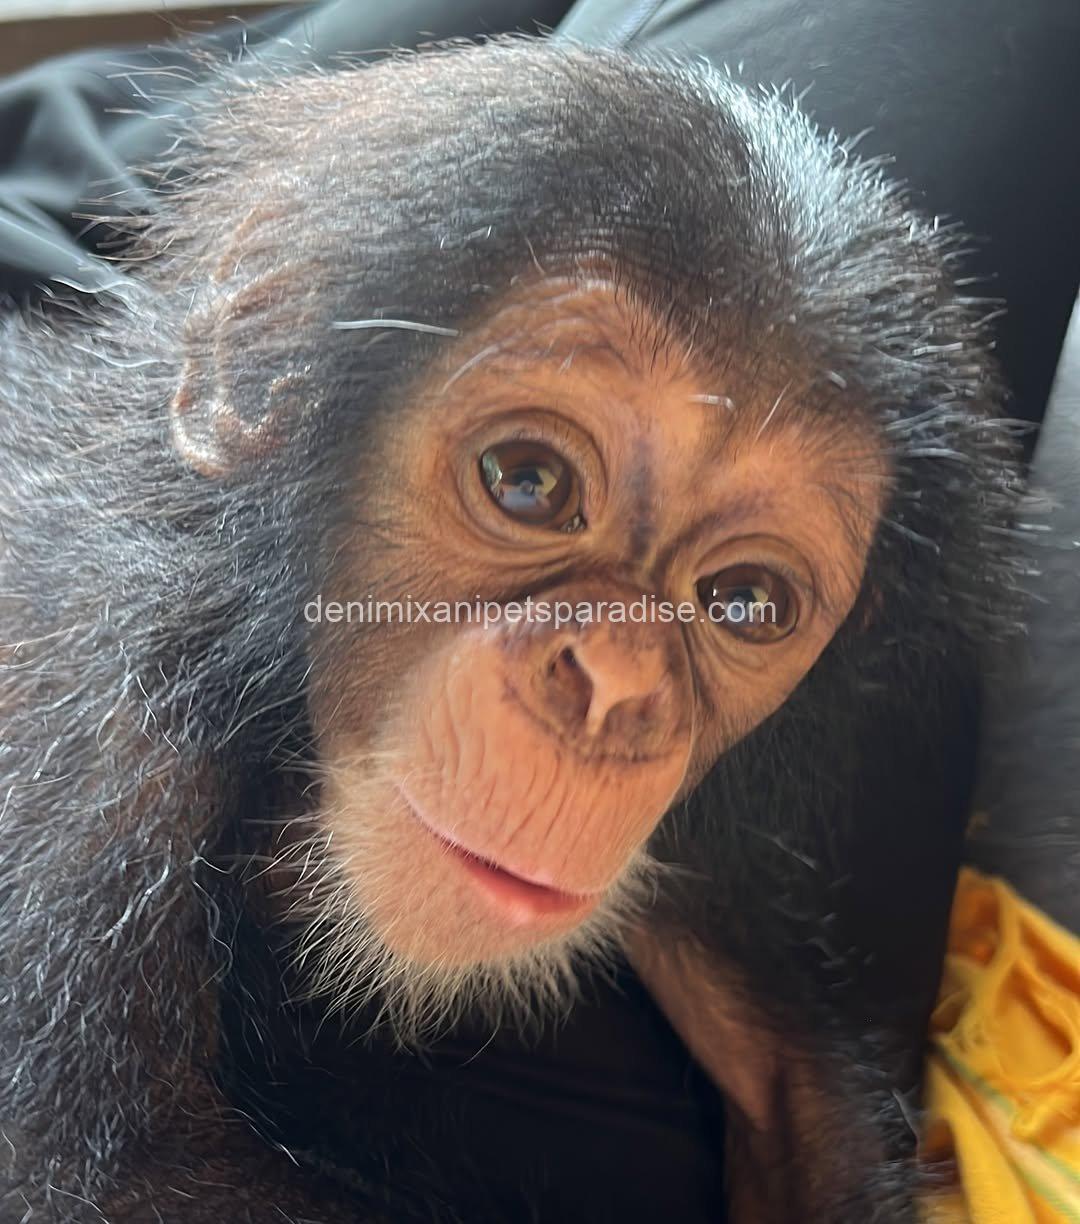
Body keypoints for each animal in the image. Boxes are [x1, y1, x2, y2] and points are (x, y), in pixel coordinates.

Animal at [0, 38, 1023, 1224]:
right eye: (528, 483)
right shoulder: (89, 745)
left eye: (744, 602)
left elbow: (785, 1077)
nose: (617, 684)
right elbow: (105, 1174)